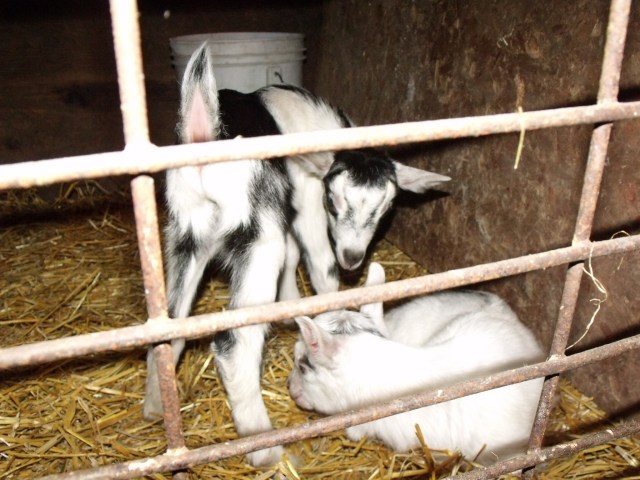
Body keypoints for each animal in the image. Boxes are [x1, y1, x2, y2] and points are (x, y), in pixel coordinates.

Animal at [143, 44, 450, 467]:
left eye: (387, 208)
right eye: (333, 202)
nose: (353, 256)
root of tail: (207, 133)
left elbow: (293, 257)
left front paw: (290, 306)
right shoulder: (305, 199)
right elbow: (319, 265)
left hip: (184, 233)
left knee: (169, 324)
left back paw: (156, 406)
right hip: (257, 238)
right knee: (234, 344)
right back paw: (264, 448)